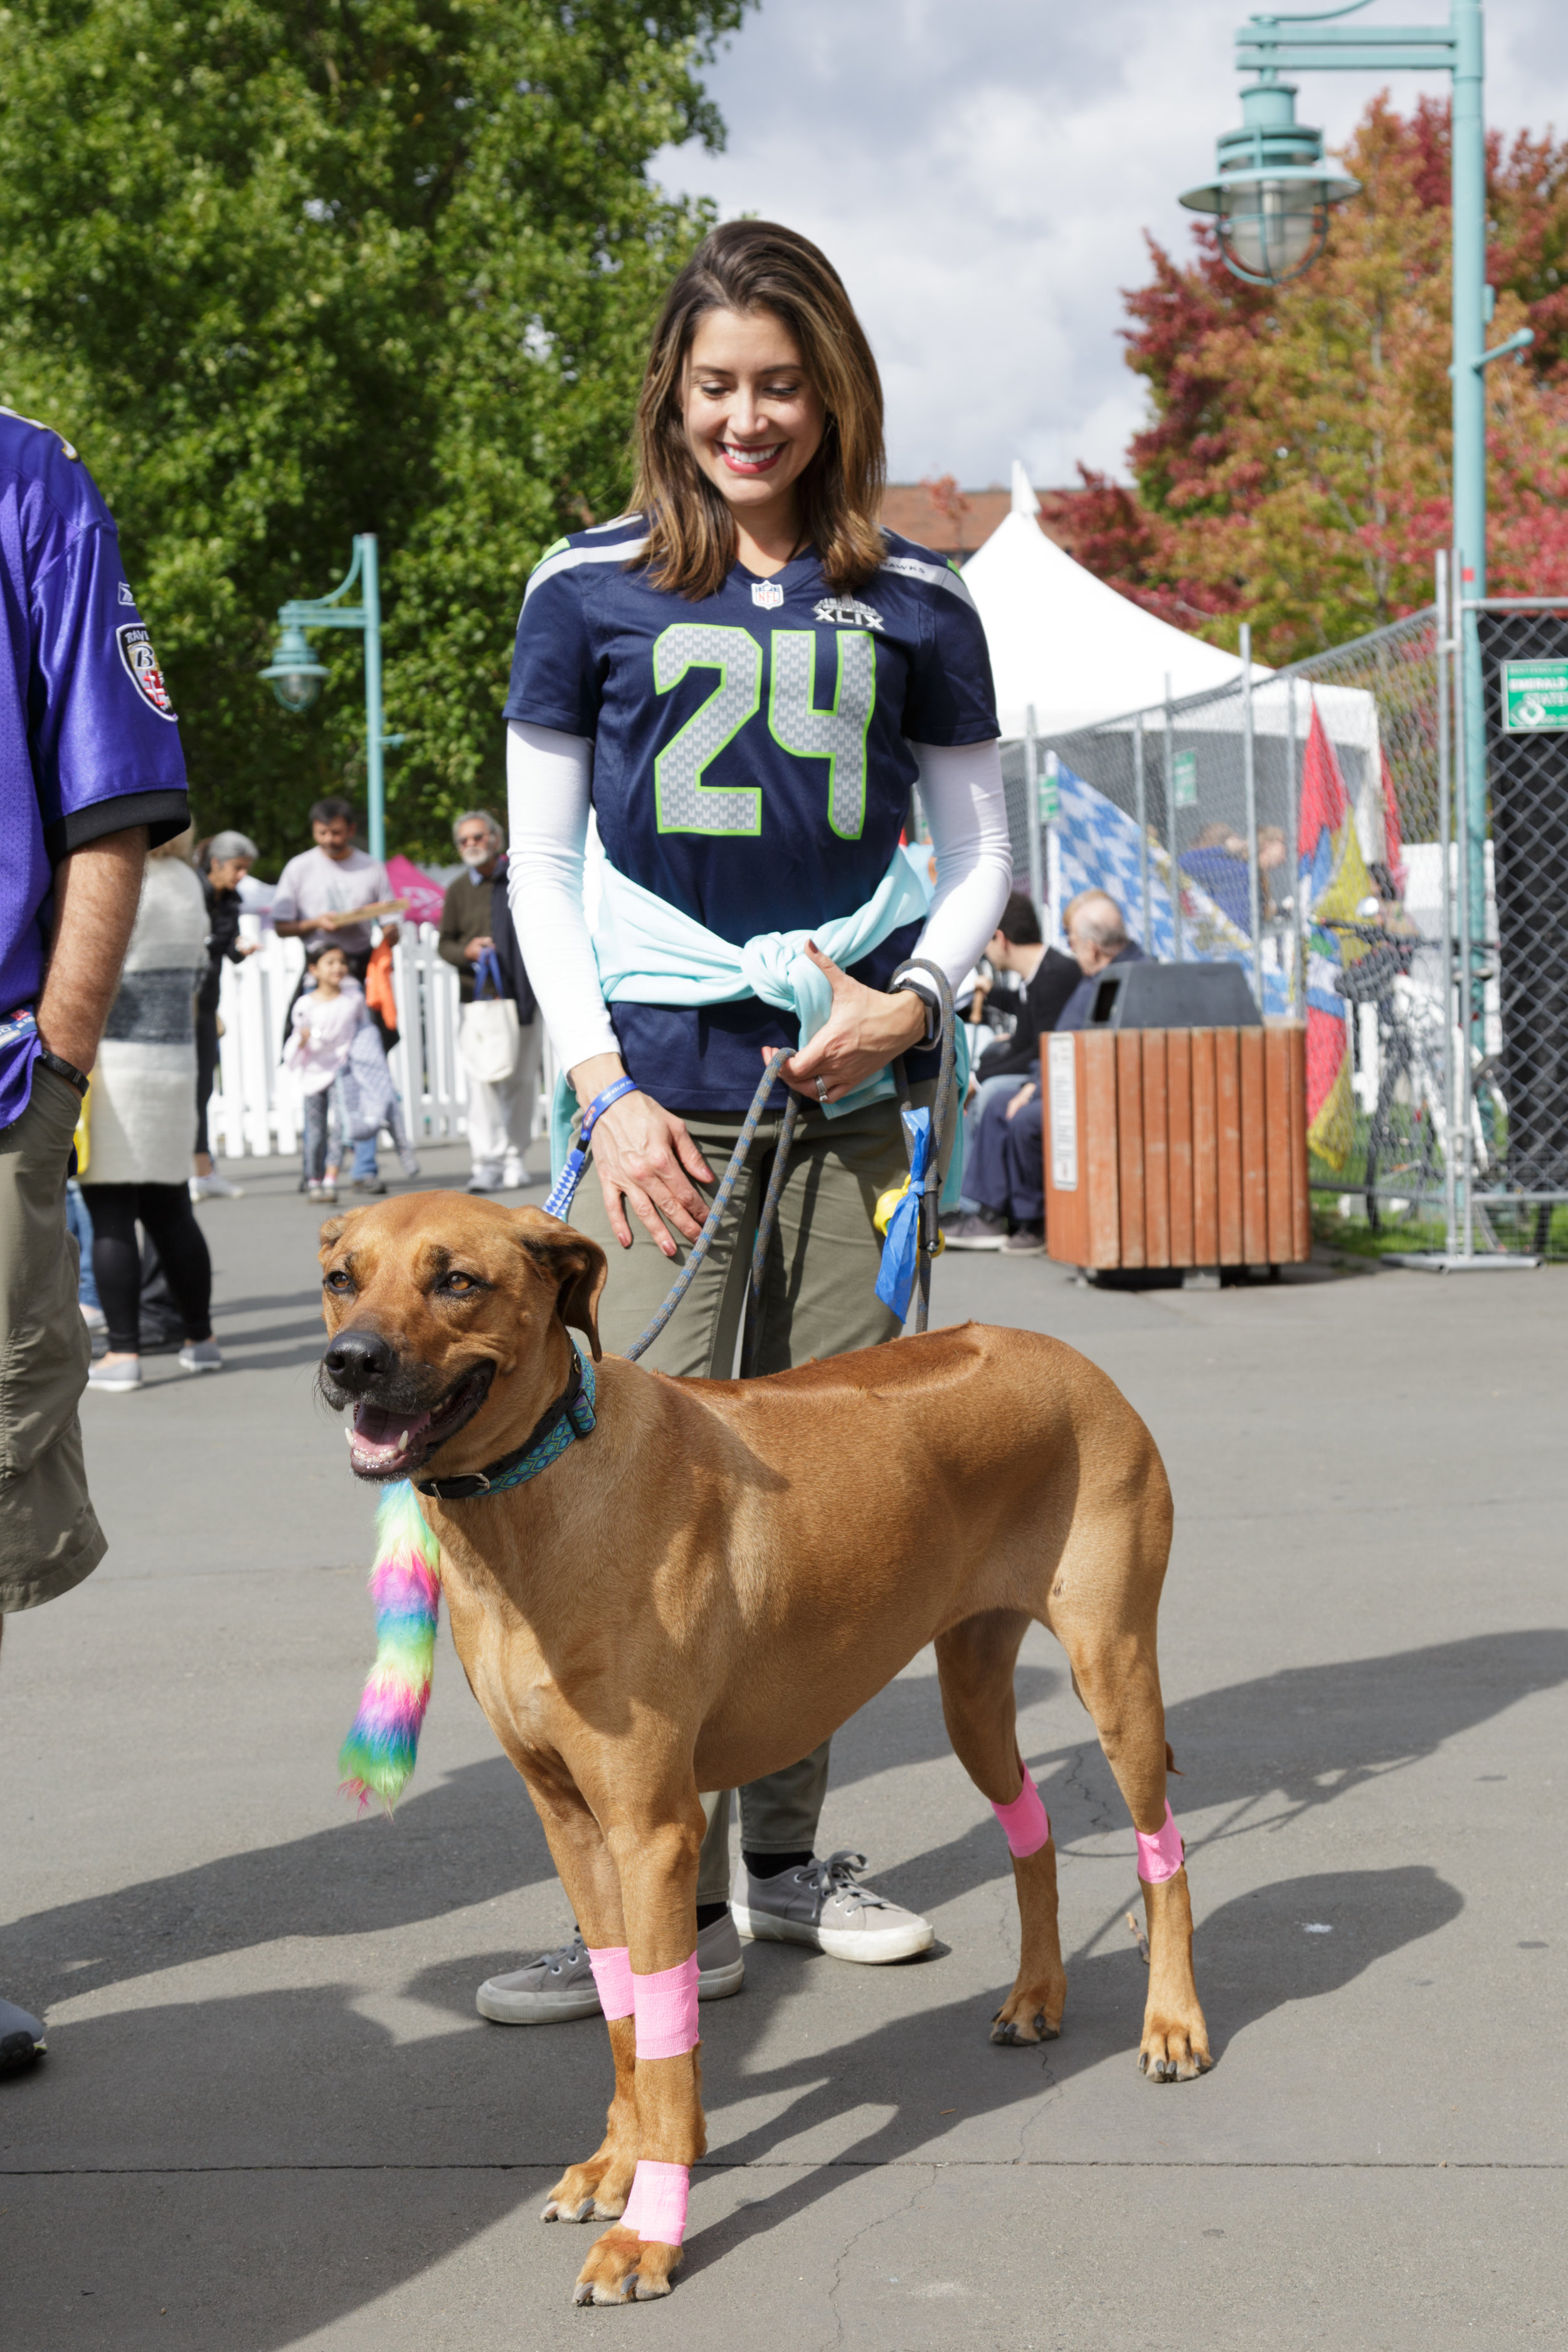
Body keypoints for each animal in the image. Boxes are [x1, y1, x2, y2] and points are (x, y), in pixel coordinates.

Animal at [312, 1204, 1213, 2305]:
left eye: (457, 1282)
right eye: (341, 1278)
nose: (349, 1360)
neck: (541, 1486)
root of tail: (1072, 1358)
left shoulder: (653, 1829)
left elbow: (664, 2039)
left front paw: (650, 2230)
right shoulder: (573, 1822)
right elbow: (628, 2019)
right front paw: (622, 2163)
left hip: (1114, 1669)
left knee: (1162, 1852)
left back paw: (1173, 2022)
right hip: (968, 1689)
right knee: (1030, 1828)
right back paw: (1040, 1994)